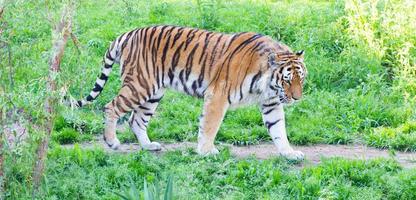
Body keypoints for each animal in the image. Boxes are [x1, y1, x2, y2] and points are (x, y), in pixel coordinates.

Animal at [76, 25, 308, 159]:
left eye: (301, 78)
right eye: (287, 79)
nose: (297, 98)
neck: (267, 84)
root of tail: (127, 34)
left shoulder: (271, 103)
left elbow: (279, 130)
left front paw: (290, 154)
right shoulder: (218, 95)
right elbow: (210, 126)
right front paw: (207, 151)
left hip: (153, 92)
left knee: (136, 120)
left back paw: (149, 146)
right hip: (139, 86)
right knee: (111, 107)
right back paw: (112, 142)